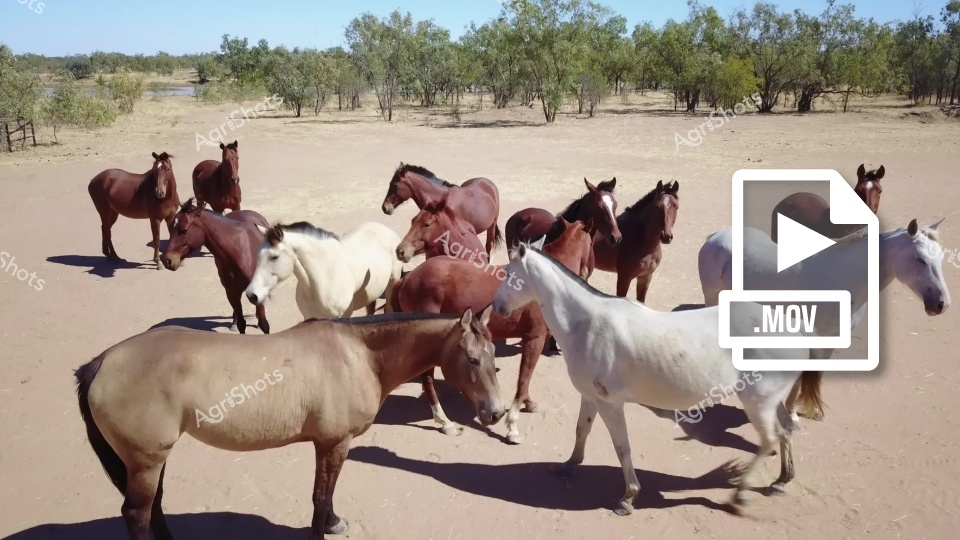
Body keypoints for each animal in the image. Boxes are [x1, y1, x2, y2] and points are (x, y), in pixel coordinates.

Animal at [74, 309, 504, 540]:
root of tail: (102, 362)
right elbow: (319, 496)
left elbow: (327, 494)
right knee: (137, 514)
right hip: (146, 462)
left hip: (151, 461)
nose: (496, 413)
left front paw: (333, 522)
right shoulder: (335, 443)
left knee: (155, 507)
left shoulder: (328, 444)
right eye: (471, 358)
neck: (358, 354)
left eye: (494, 356)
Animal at [160, 199, 271, 334]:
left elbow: (264, 324)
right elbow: (241, 323)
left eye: (184, 230)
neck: (240, 252)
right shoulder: (231, 292)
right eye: (170, 228)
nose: (166, 260)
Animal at [391, 218, 594, 444]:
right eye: (593, 244)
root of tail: (407, 278)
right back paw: (445, 422)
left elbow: (525, 382)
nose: (588, 272)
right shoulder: (535, 339)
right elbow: (523, 380)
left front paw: (528, 403)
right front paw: (512, 427)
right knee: (427, 380)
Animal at [491, 244, 824, 515]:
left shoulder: (611, 404)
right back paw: (781, 481)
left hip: (758, 402)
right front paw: (569, 466)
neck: (586, 324)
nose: (496, 308)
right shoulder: (591, 396)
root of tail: (793, 326)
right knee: (785, 431)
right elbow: (581, 431)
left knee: (770, 439)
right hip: (771, 400)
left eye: (508, 274)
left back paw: (740, 495)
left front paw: (628, 498)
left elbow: (622, 447)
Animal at [698, 218, 950, 420]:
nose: (942, 304)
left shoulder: (830, 340)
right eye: (920, 259)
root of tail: (715, 236)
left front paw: (796, 411)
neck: (842, 280)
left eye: (940, 258)